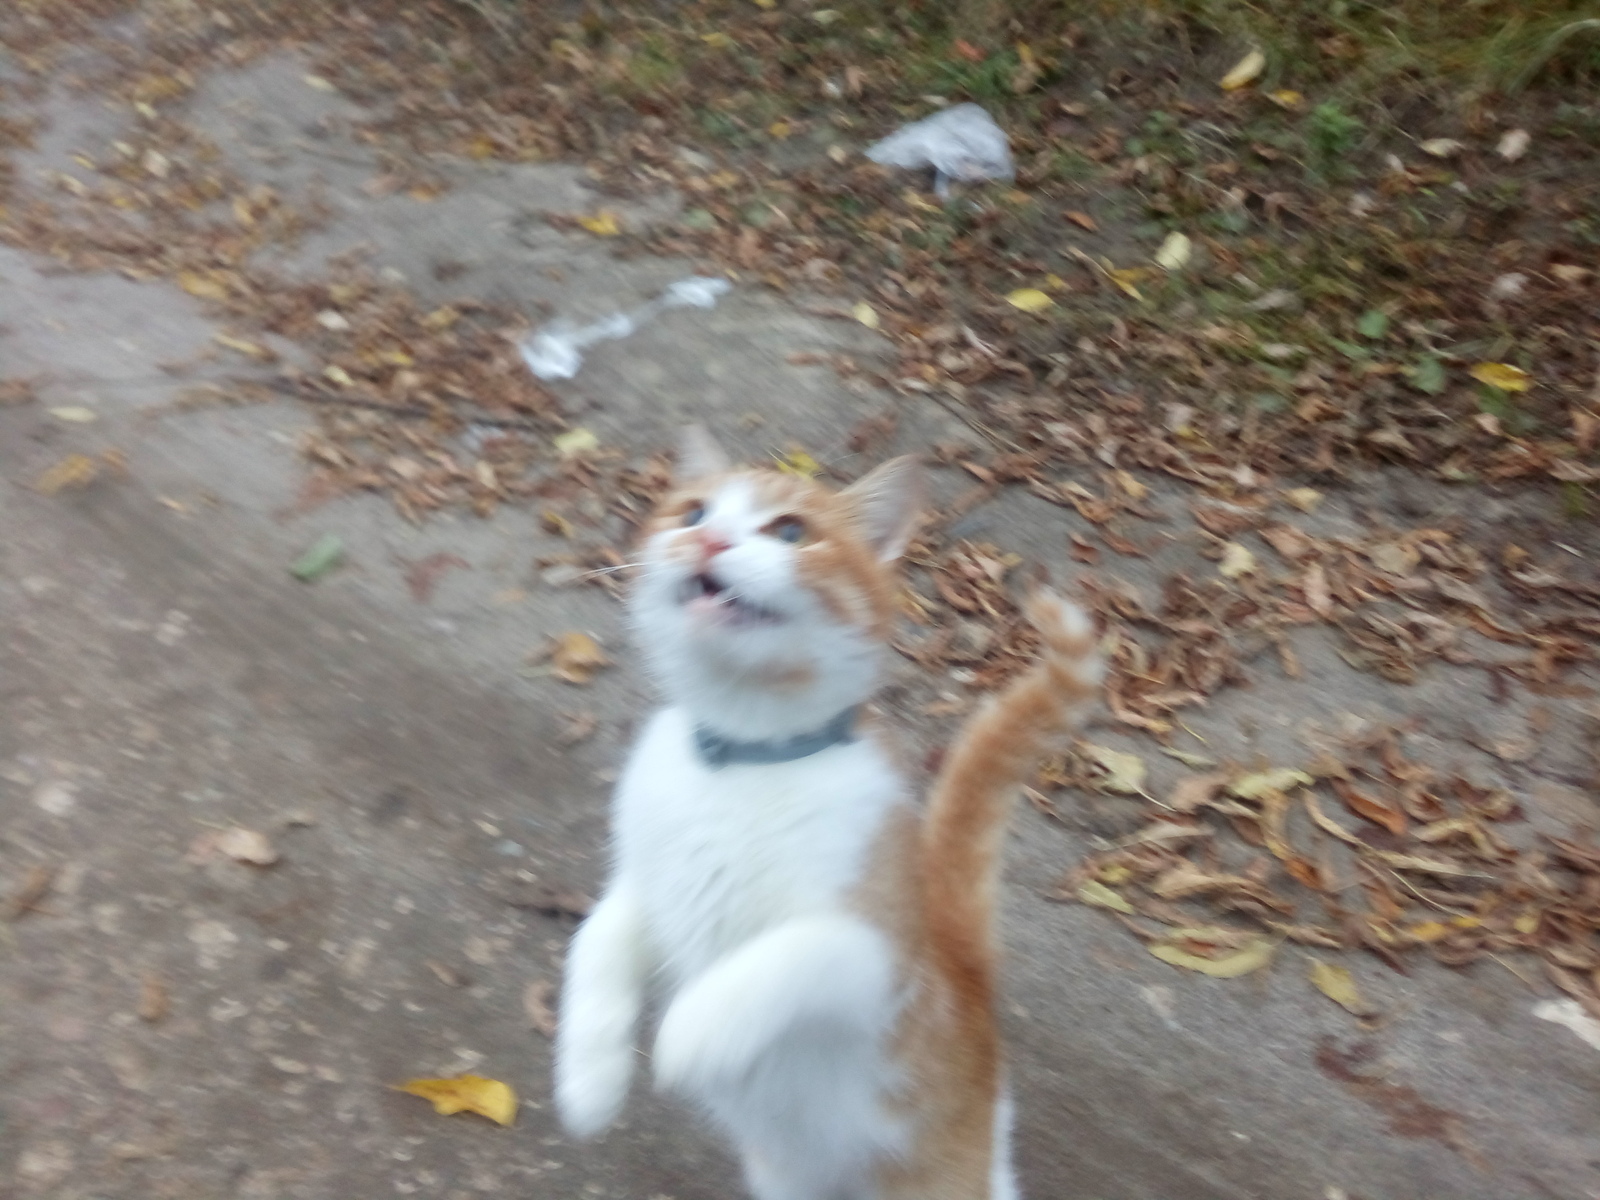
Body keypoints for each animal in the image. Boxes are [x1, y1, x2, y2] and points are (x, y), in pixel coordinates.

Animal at [553, 428, 1100, 1200]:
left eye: (789, 531)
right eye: (693, 513)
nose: (710, 539)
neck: (745, 757)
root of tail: (972, 984)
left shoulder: (875, 954)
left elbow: (785, 954)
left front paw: (695, 1029)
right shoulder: (647, 886)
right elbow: (593, 941)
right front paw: (590, 1076)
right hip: (785, 1176)